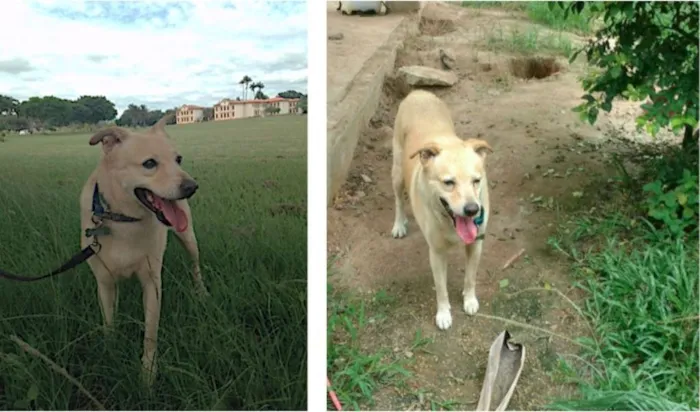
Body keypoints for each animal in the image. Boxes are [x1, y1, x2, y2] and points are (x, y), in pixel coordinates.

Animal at [80, 117, 205, 384]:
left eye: (178, 159)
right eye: (149, 163)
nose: (192, 187)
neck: (125, 220)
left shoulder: (152, 283)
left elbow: (150, 331)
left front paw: (148, 372)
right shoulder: (105, 282)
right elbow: (109, 323)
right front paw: (110, 354)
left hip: (188, 238)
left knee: (195, 263)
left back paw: (201, 292)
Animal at [388, 91, 492, 332]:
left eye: (476, 181)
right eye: (448, 183)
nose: (472, 210)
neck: (449, 222)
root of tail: (418, 93)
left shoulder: (476, 245)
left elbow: (470, 277)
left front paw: (469, 300)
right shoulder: (436, 253)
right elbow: (441, 288)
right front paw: (443, 314)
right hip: (397, 171)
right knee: (398, 200)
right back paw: (399, 224)